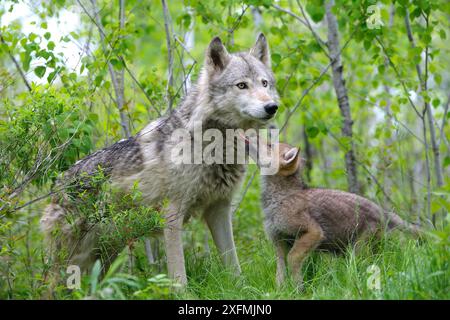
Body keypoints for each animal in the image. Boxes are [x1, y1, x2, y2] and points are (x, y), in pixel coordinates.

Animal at [42, 33, 280, 288]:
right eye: (242, 85)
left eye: (264, 83)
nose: (272, 107)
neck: (214, 146)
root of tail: (57, 183)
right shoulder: (172, 213)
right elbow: (179, 273)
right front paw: (182, 292)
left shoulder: (219, 209)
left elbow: (232, 262)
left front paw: (242, 288)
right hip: (71, 258)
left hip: (108, 250)